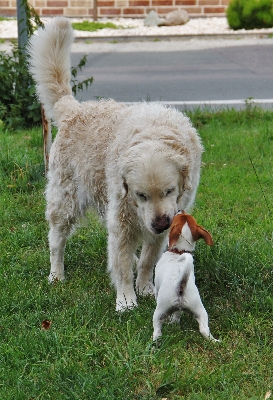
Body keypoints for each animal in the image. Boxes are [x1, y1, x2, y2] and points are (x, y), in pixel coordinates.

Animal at [27, 18, 203, 312]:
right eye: (140, 194)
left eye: (169, 191)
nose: (160, 224)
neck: (152, 134)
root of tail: (74, 109)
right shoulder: (122, 218)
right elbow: (121, 265)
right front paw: (126, 300)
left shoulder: (164, 221)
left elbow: (147, 260)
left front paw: (145, 288)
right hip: (65, 201)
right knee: (56, 241)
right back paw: (56, 274)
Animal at [152, 211, 218, 342]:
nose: (180, 210)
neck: (180, 251)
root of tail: (181, 285)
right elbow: (176, 315)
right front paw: (173, 322)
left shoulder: (157, 288)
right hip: (200, 310)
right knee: (204, 329)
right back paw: (215, 341)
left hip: (159, 311)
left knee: (157, 331)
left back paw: (154, 342)